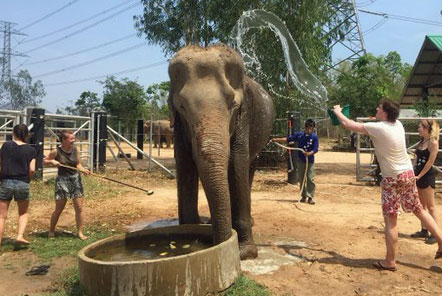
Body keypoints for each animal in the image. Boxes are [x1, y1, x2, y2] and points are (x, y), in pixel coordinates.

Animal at [167, 44, 274, 260]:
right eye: (182, 106)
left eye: (233, 104)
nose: (217, 245)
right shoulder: (179, 126)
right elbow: (185, 164)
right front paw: (189, 232)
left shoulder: (245, 114)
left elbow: (236, 163)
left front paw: (245, 253)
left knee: (249, 167)